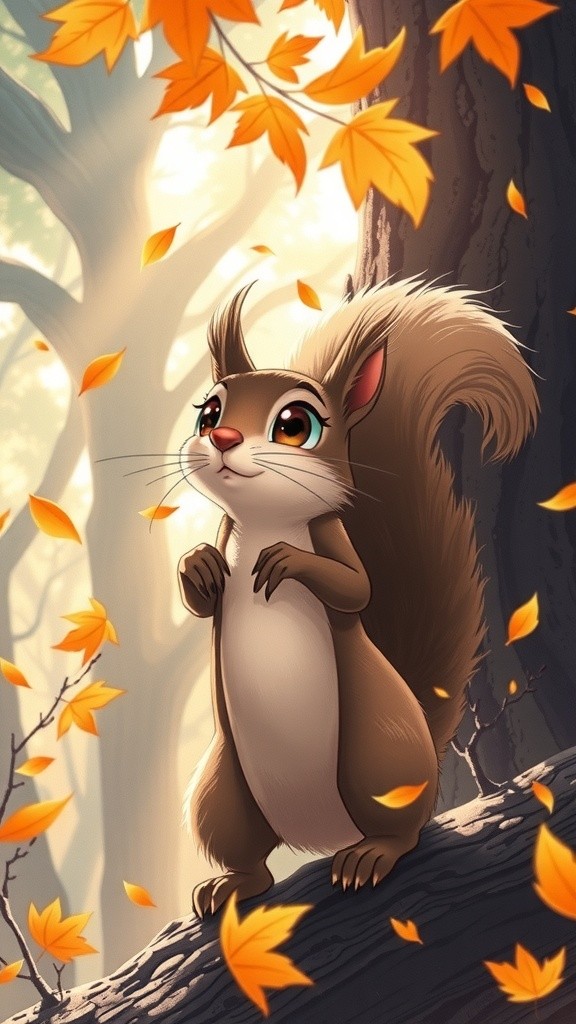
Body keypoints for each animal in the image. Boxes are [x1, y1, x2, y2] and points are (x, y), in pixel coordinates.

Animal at [178, 277, 538, 918]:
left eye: (295, 424)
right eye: (209, 412)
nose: (221, 438)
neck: (265, 520)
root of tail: (323, 834)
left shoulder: (331, 536)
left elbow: (356, 588)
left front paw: (288, 562)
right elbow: (203, 601)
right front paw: (198, 564)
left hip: (377, 757)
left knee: (404, 831)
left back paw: (372, 855)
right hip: (223, 794)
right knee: (251, 860)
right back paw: (230, 884)